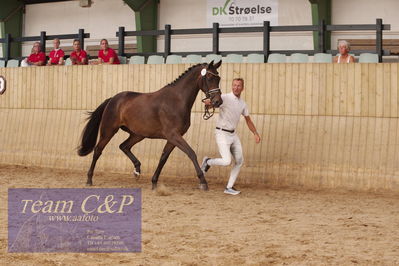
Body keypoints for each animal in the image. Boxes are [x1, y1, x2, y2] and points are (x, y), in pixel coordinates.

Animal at [76, 60, 223, 189]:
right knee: (98, 150)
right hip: (109, 130)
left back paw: (137, 170)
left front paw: (154, 182)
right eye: (209, 77)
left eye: (219, 78)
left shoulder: (173, 137)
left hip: (138, 134)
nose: (217, 102)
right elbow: (191, 153)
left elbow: (163, 157)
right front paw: (203, 182)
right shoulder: (173, 135)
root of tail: (113, 99)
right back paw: (89, 179)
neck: (176, 100)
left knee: (124, 146)